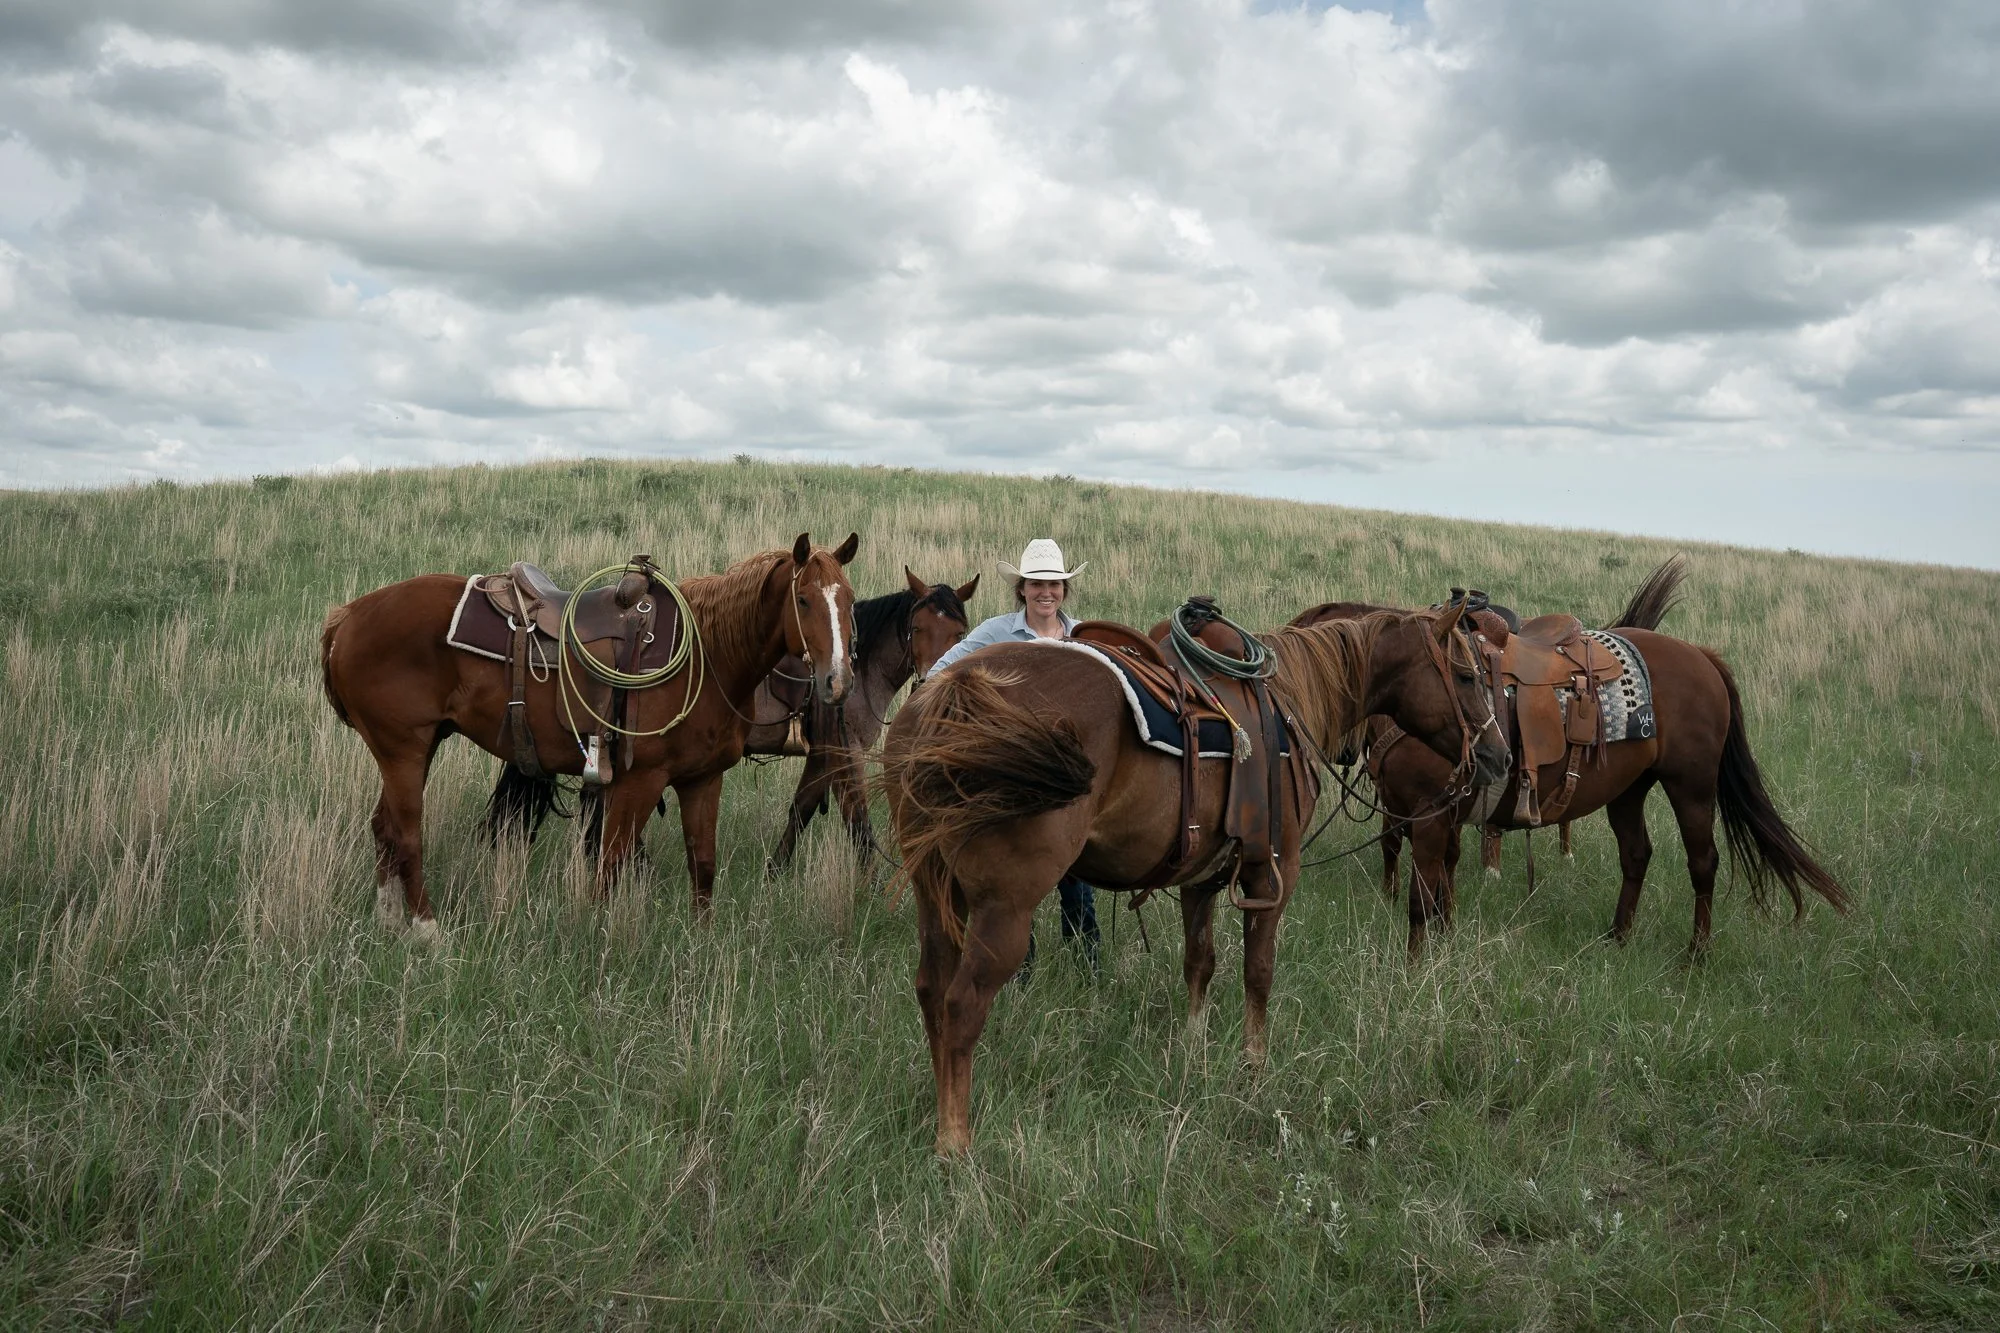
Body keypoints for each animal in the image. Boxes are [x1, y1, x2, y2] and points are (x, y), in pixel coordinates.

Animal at [321, 533, 859, 937]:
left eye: (850, 601)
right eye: (804, 600)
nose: (837, 681)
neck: (708, 657)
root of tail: (347, 616)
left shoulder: (702, 779)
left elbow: (702, 865)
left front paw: (700, 943)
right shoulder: (641, 781)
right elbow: (610, 868)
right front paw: (598, 945)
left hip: (416, 747)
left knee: (383, 827)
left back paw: (389, 920)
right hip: (404, 750)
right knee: (407, 834)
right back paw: (427, 931)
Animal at [745, 567, 978, 868]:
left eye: (960, 633)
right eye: (917, 628)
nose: (932, 683)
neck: (861, 668)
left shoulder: (821, 755)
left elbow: (801, 808)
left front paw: (774, 870)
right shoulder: (844, 753)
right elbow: (859, 824)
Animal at [882, 605, 1510, 1155]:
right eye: (1465, 675)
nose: (1499, 757)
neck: (1289, 704)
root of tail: (955, 693)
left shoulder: (1199, 880)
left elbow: (1199, 964)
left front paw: (1193, 1052)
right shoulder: (1273, 873)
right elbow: (1259, 971)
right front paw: (1253, 1069)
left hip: (937, 895)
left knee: (931, 991)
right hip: (1004, 908)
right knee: (962, 1005)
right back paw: (954, 1142)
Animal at [1301, 558, 1848, 958]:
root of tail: (1702, 657)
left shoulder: (1430, 815)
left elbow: (1422, 899)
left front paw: (1416, 965)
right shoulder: (1432, 813)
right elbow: (1438, 889)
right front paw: (1443, 942)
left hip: (1691, 787)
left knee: (1703, 862)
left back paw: (1695, 954)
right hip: (1629, 789)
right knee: (1636, 853)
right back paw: (1618, 937)